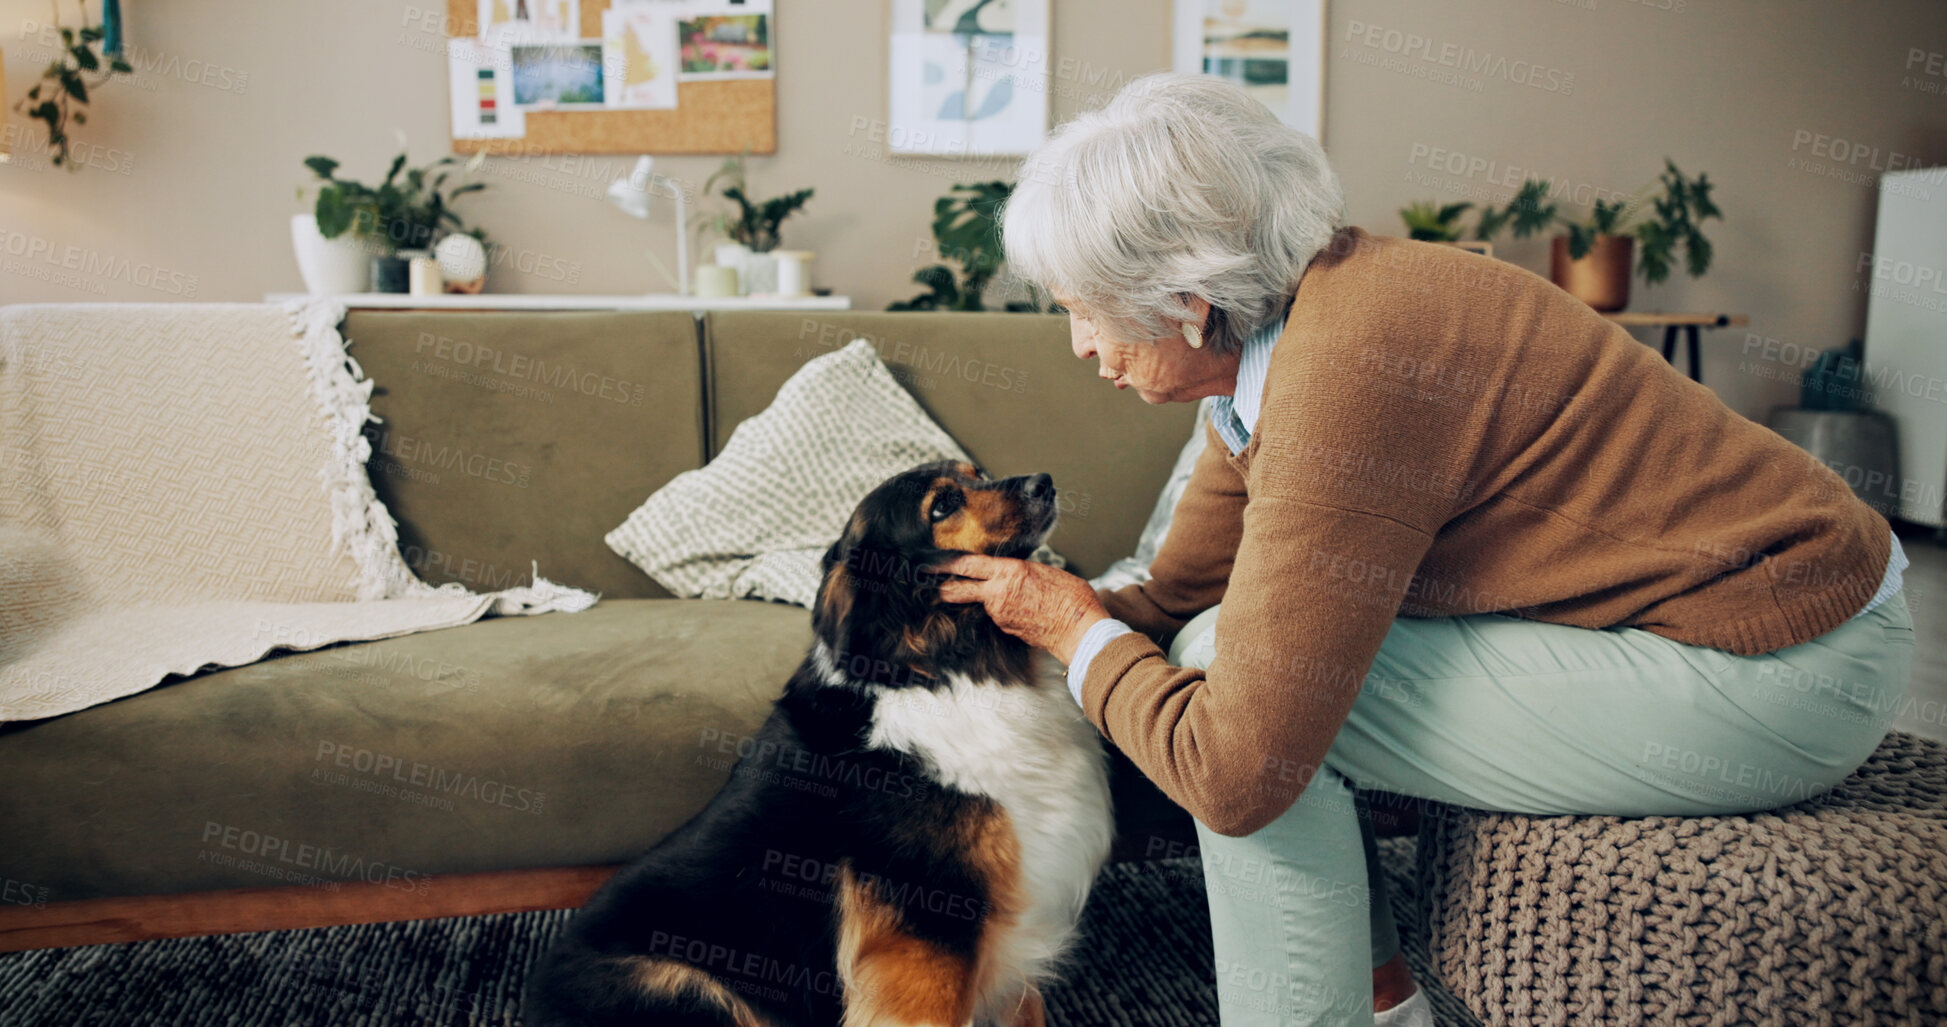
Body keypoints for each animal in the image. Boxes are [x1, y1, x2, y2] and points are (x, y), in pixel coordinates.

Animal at [525, 461, 1121, 1021]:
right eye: (942, 505)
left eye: (979, 475)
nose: (1044, 483)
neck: (941, 666)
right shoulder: (928, 944)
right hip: (690, 987)